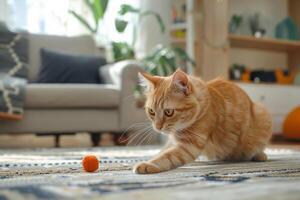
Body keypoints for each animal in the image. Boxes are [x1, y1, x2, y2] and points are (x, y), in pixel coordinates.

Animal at [135, 69, 274, 173]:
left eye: (169, 112)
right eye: (151, 111)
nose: (157, 127)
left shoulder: (189, 146)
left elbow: (167, 156)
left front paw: (148, 165)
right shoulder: (173, 142)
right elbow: (162, 152)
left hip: (262, 114)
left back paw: (260, 155)